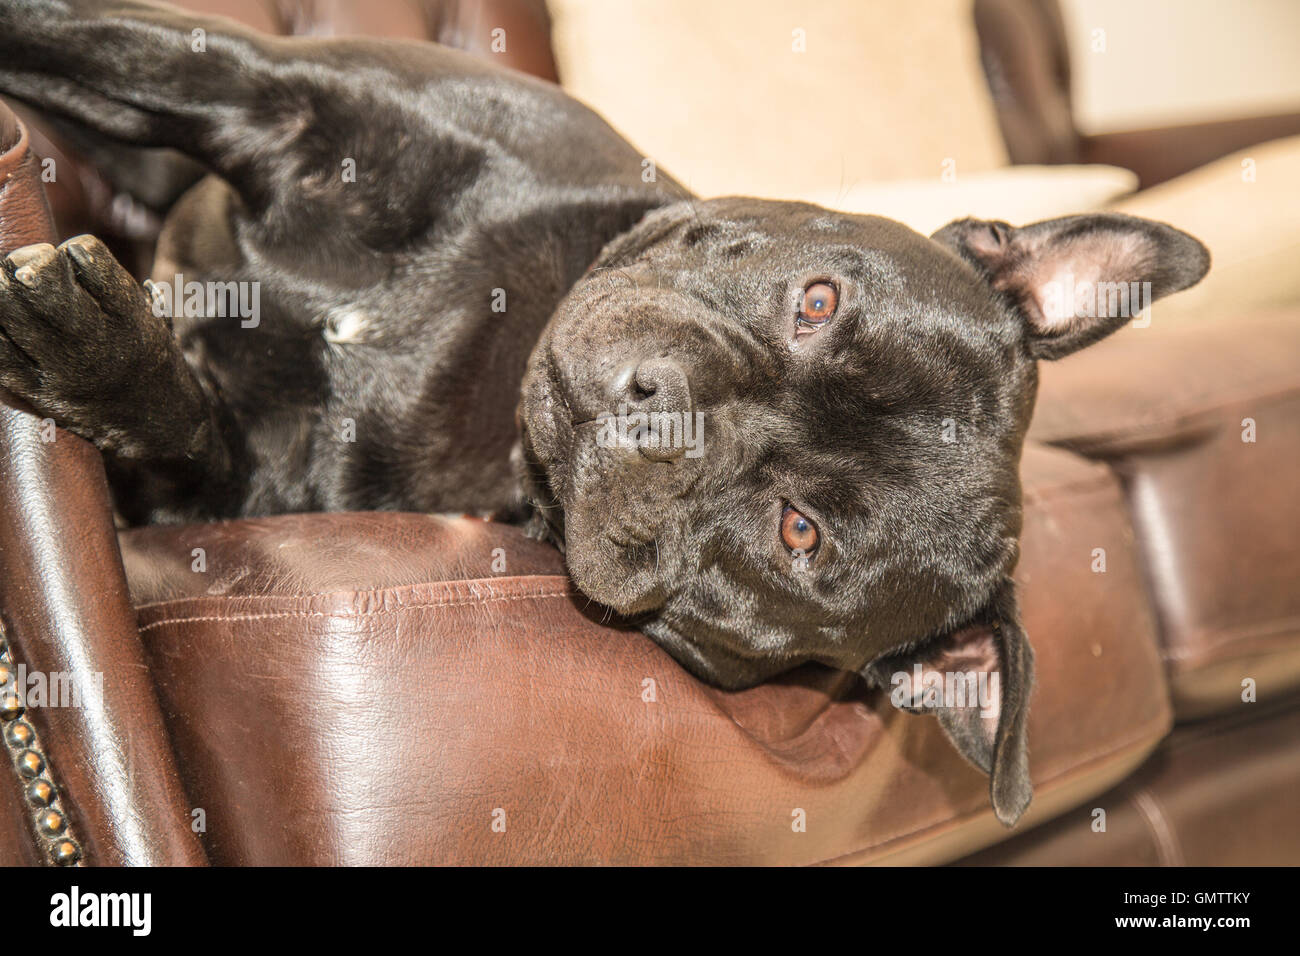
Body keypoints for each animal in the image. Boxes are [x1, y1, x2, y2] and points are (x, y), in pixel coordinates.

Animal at [0, 0, 1206, 827]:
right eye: (817, 302)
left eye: (798, 532)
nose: (665, 409)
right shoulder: (271, 87)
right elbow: (84, 41)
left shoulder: (239, 494)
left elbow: (189, 431)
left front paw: (97, 351)